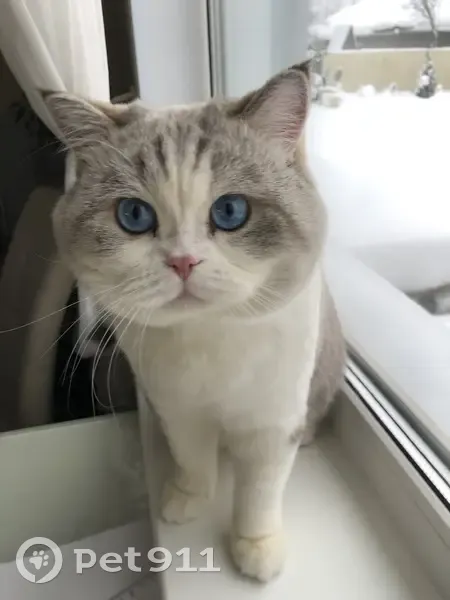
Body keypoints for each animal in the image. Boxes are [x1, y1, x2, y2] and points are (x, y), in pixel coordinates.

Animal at [44, 61, 345, 582]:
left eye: (230, 211)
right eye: (134, 215)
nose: (183, 262)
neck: (207, 338)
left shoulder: (273, 421)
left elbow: (260, 491)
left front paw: (255, 547)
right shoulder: (177, 408)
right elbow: (192, 458)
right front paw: (187, 499)